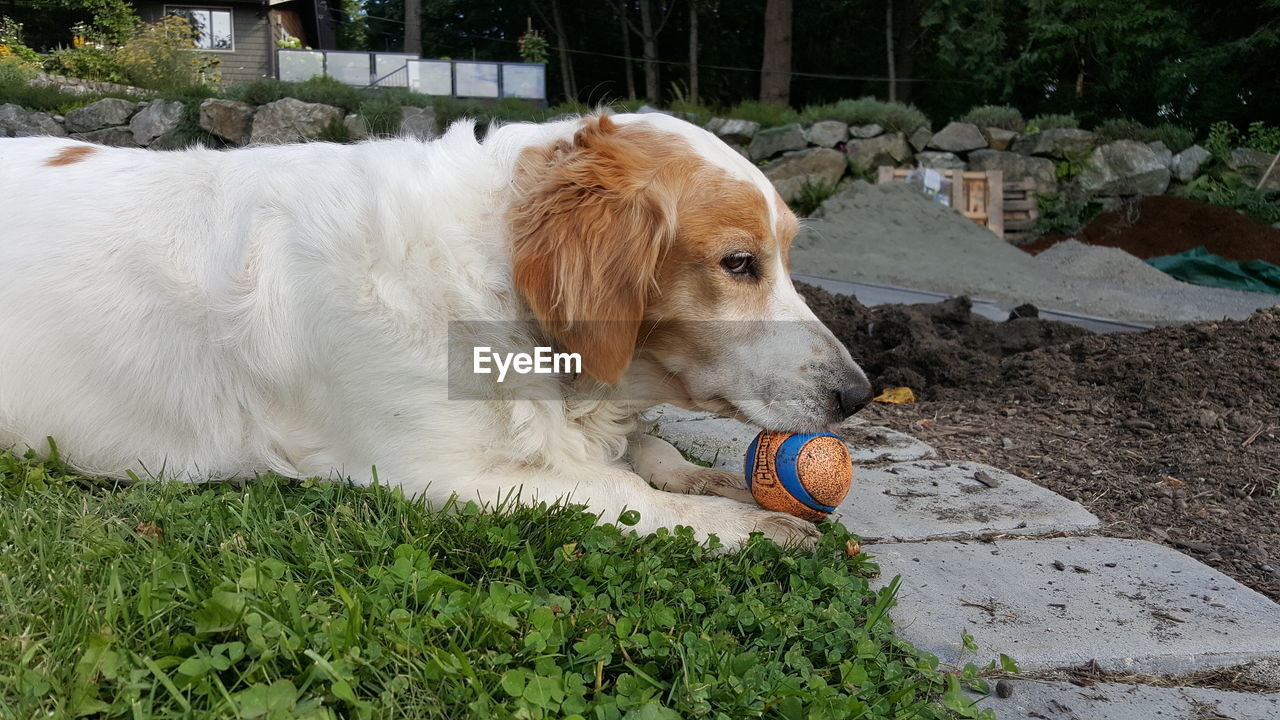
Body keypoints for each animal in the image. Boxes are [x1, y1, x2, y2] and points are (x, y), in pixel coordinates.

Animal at [0, 110, 870, 543]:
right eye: (738, 263)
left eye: (785, 255)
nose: (859, 395)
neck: (489, 282)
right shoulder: (439, 474)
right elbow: (626, 493)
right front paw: (754, 527)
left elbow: (647, 455)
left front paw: (712, 478)